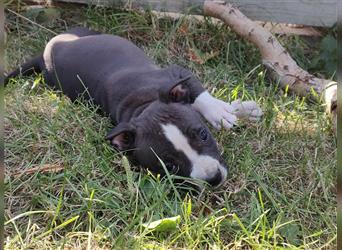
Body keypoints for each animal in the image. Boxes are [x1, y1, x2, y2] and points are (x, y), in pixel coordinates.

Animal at [4, 26, 262, 186]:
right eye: (169, 166)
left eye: (203, 135)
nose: (213, 178)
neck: (143, 104)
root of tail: (42, 56)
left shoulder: (177, 74)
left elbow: (199, 94)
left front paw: (225, 111)